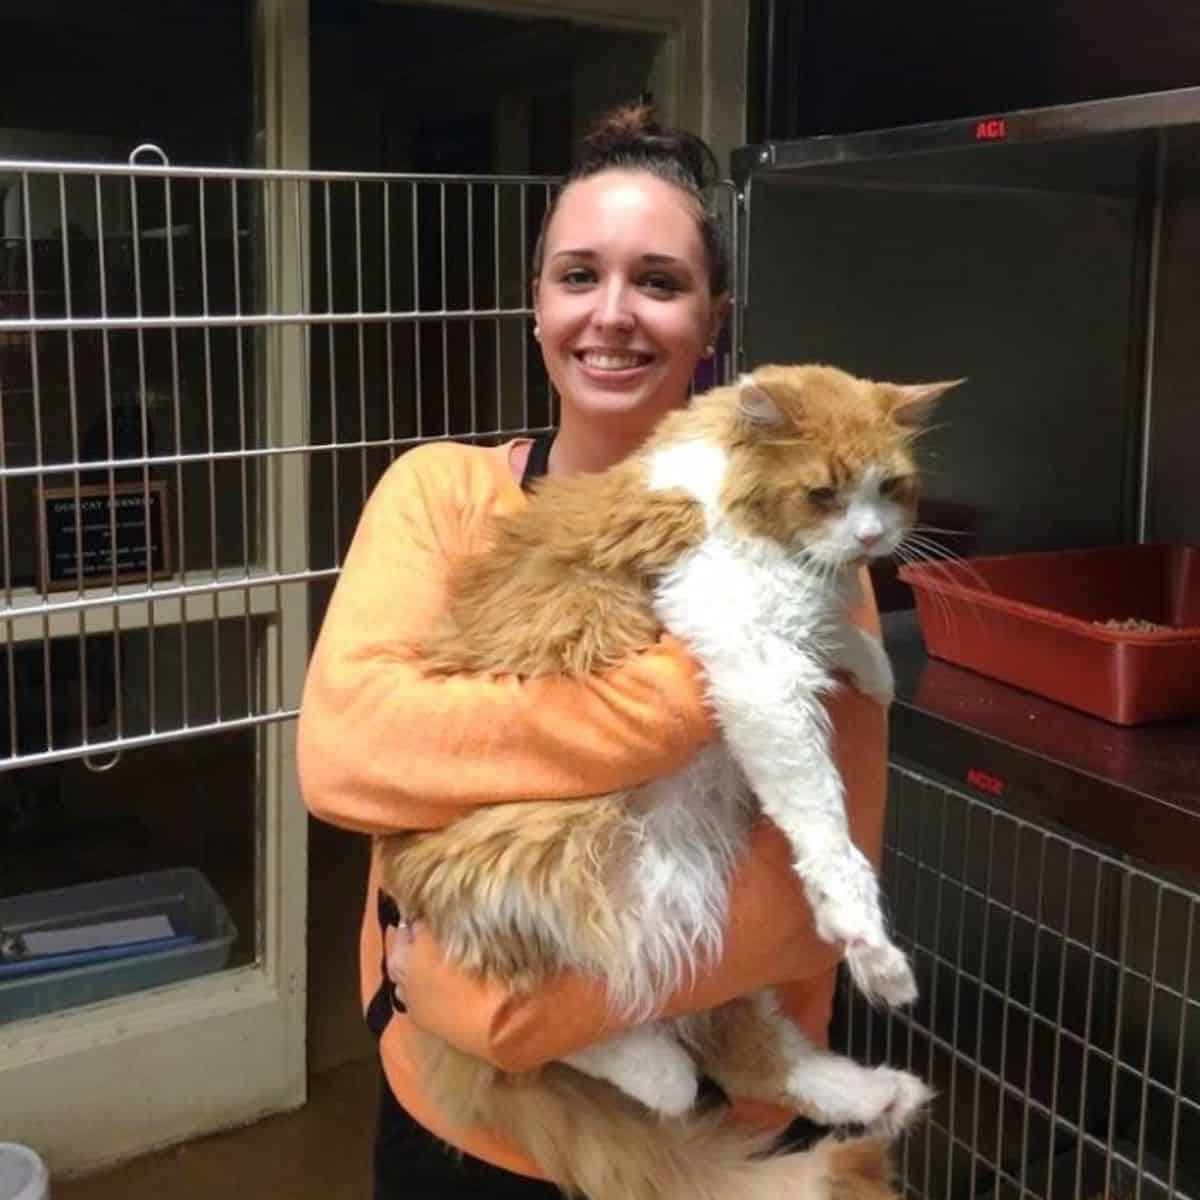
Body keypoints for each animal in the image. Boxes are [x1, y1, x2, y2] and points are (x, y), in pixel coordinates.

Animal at [379, 362, 960, 1200]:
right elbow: (825, 823)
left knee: (744, 1047)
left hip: (697, 913)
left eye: (891, 487)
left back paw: (880, 1095)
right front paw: (864, 936)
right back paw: (661, 1072)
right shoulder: (752, 656)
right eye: (824, 492)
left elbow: (833, 631)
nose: (871, 538)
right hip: (558, 863)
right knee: (536, 1035)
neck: (726, 479)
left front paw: (873, 668)